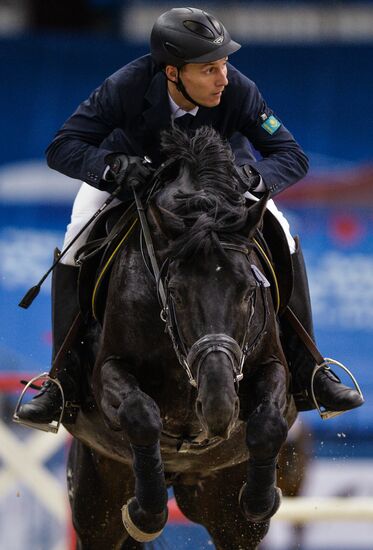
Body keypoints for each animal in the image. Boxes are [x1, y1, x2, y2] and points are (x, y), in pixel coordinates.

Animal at [65, 127, 294, 550]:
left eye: (248, 291)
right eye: (175, 292)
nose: (219, 407)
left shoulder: (272, 365)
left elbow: (269, 421)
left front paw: (261, 500)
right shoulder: (106, 371)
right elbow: (140, 414)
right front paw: (147, 512)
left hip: (221, 504)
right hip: (97, 498)